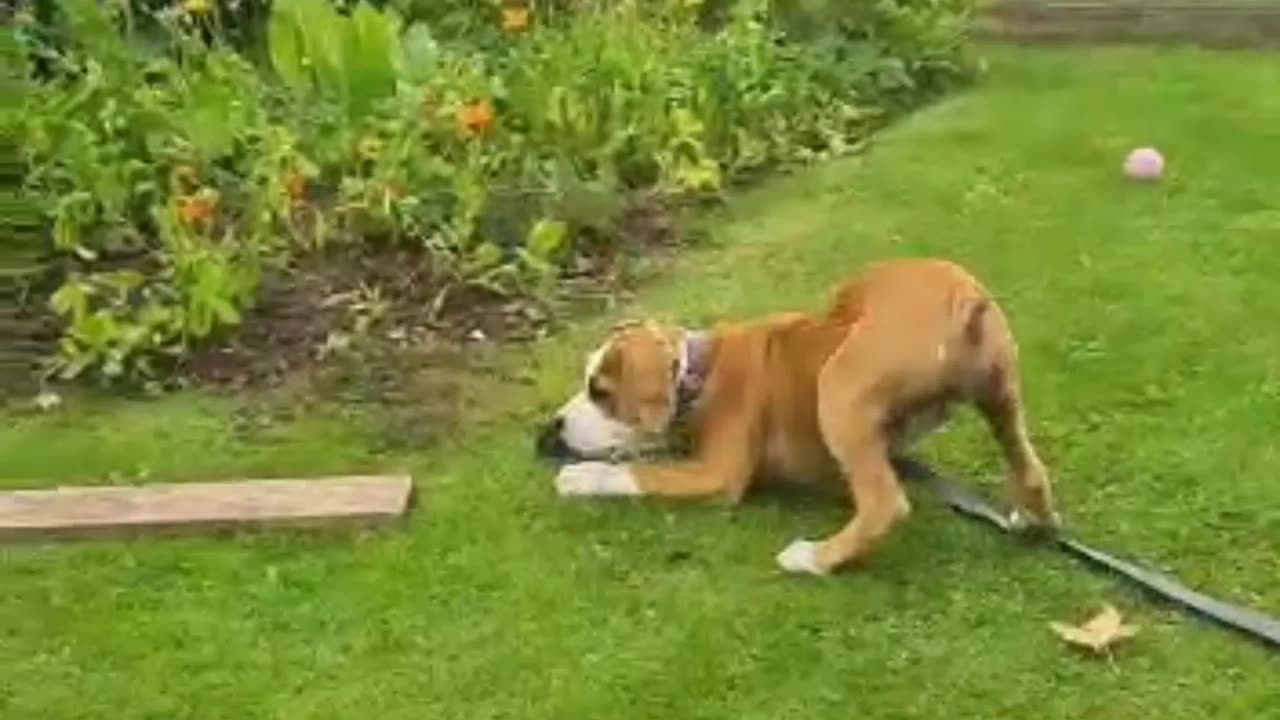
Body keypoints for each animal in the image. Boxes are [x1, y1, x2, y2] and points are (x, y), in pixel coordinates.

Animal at [535, 256, 1054, 571]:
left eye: (599, 391)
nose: (554, 426)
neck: (698, 372)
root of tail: (963, 300)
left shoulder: (717, 477)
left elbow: (644, 473)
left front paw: (582, 478)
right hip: (1001, 397)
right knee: (1031, 471)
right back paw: (1030, 521)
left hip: (837, 388)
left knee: (884, 504)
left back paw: (813, 559)